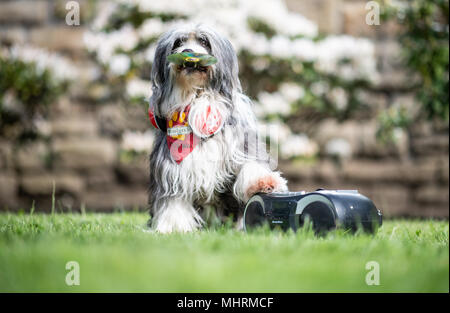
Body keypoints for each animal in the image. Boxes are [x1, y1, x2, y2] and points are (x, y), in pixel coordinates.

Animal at [148, 24, 288, 232]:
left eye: (204, 41)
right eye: (178, 43)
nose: (187, 52)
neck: (198, 100)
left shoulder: (242, 143)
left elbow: (251, 163)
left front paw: (263, 182)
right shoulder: (171, 165)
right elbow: (173, 199)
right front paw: (173, 227)